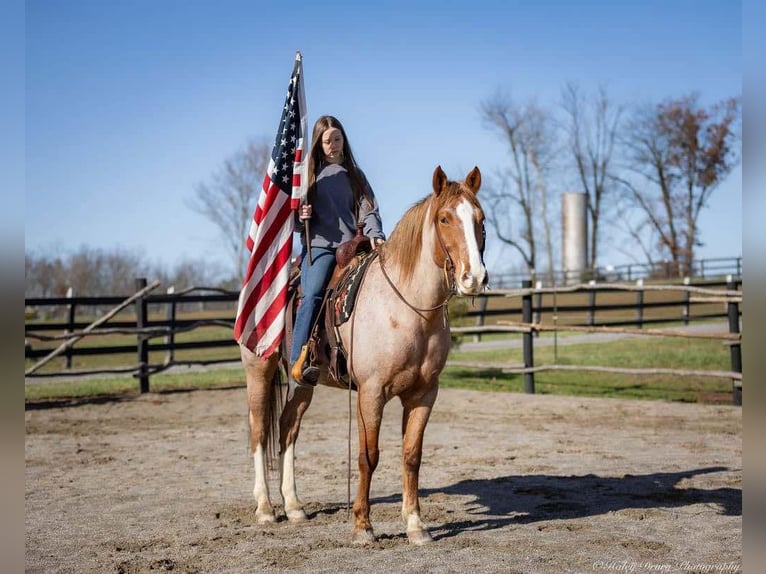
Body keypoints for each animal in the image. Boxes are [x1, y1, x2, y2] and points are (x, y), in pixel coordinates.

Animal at [243, 164, 488, 548]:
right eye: (445, 218)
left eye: (480, 218)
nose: (473, 277)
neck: (407, 307)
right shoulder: (371, 393)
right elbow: (367, 456)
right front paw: (363, 526)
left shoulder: (423, 394)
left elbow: (411, 456)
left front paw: (416, 524)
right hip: (259, 368)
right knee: (258, 431)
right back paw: (266, 508)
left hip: (303, 383)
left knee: (287, 430)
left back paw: (294, 506)